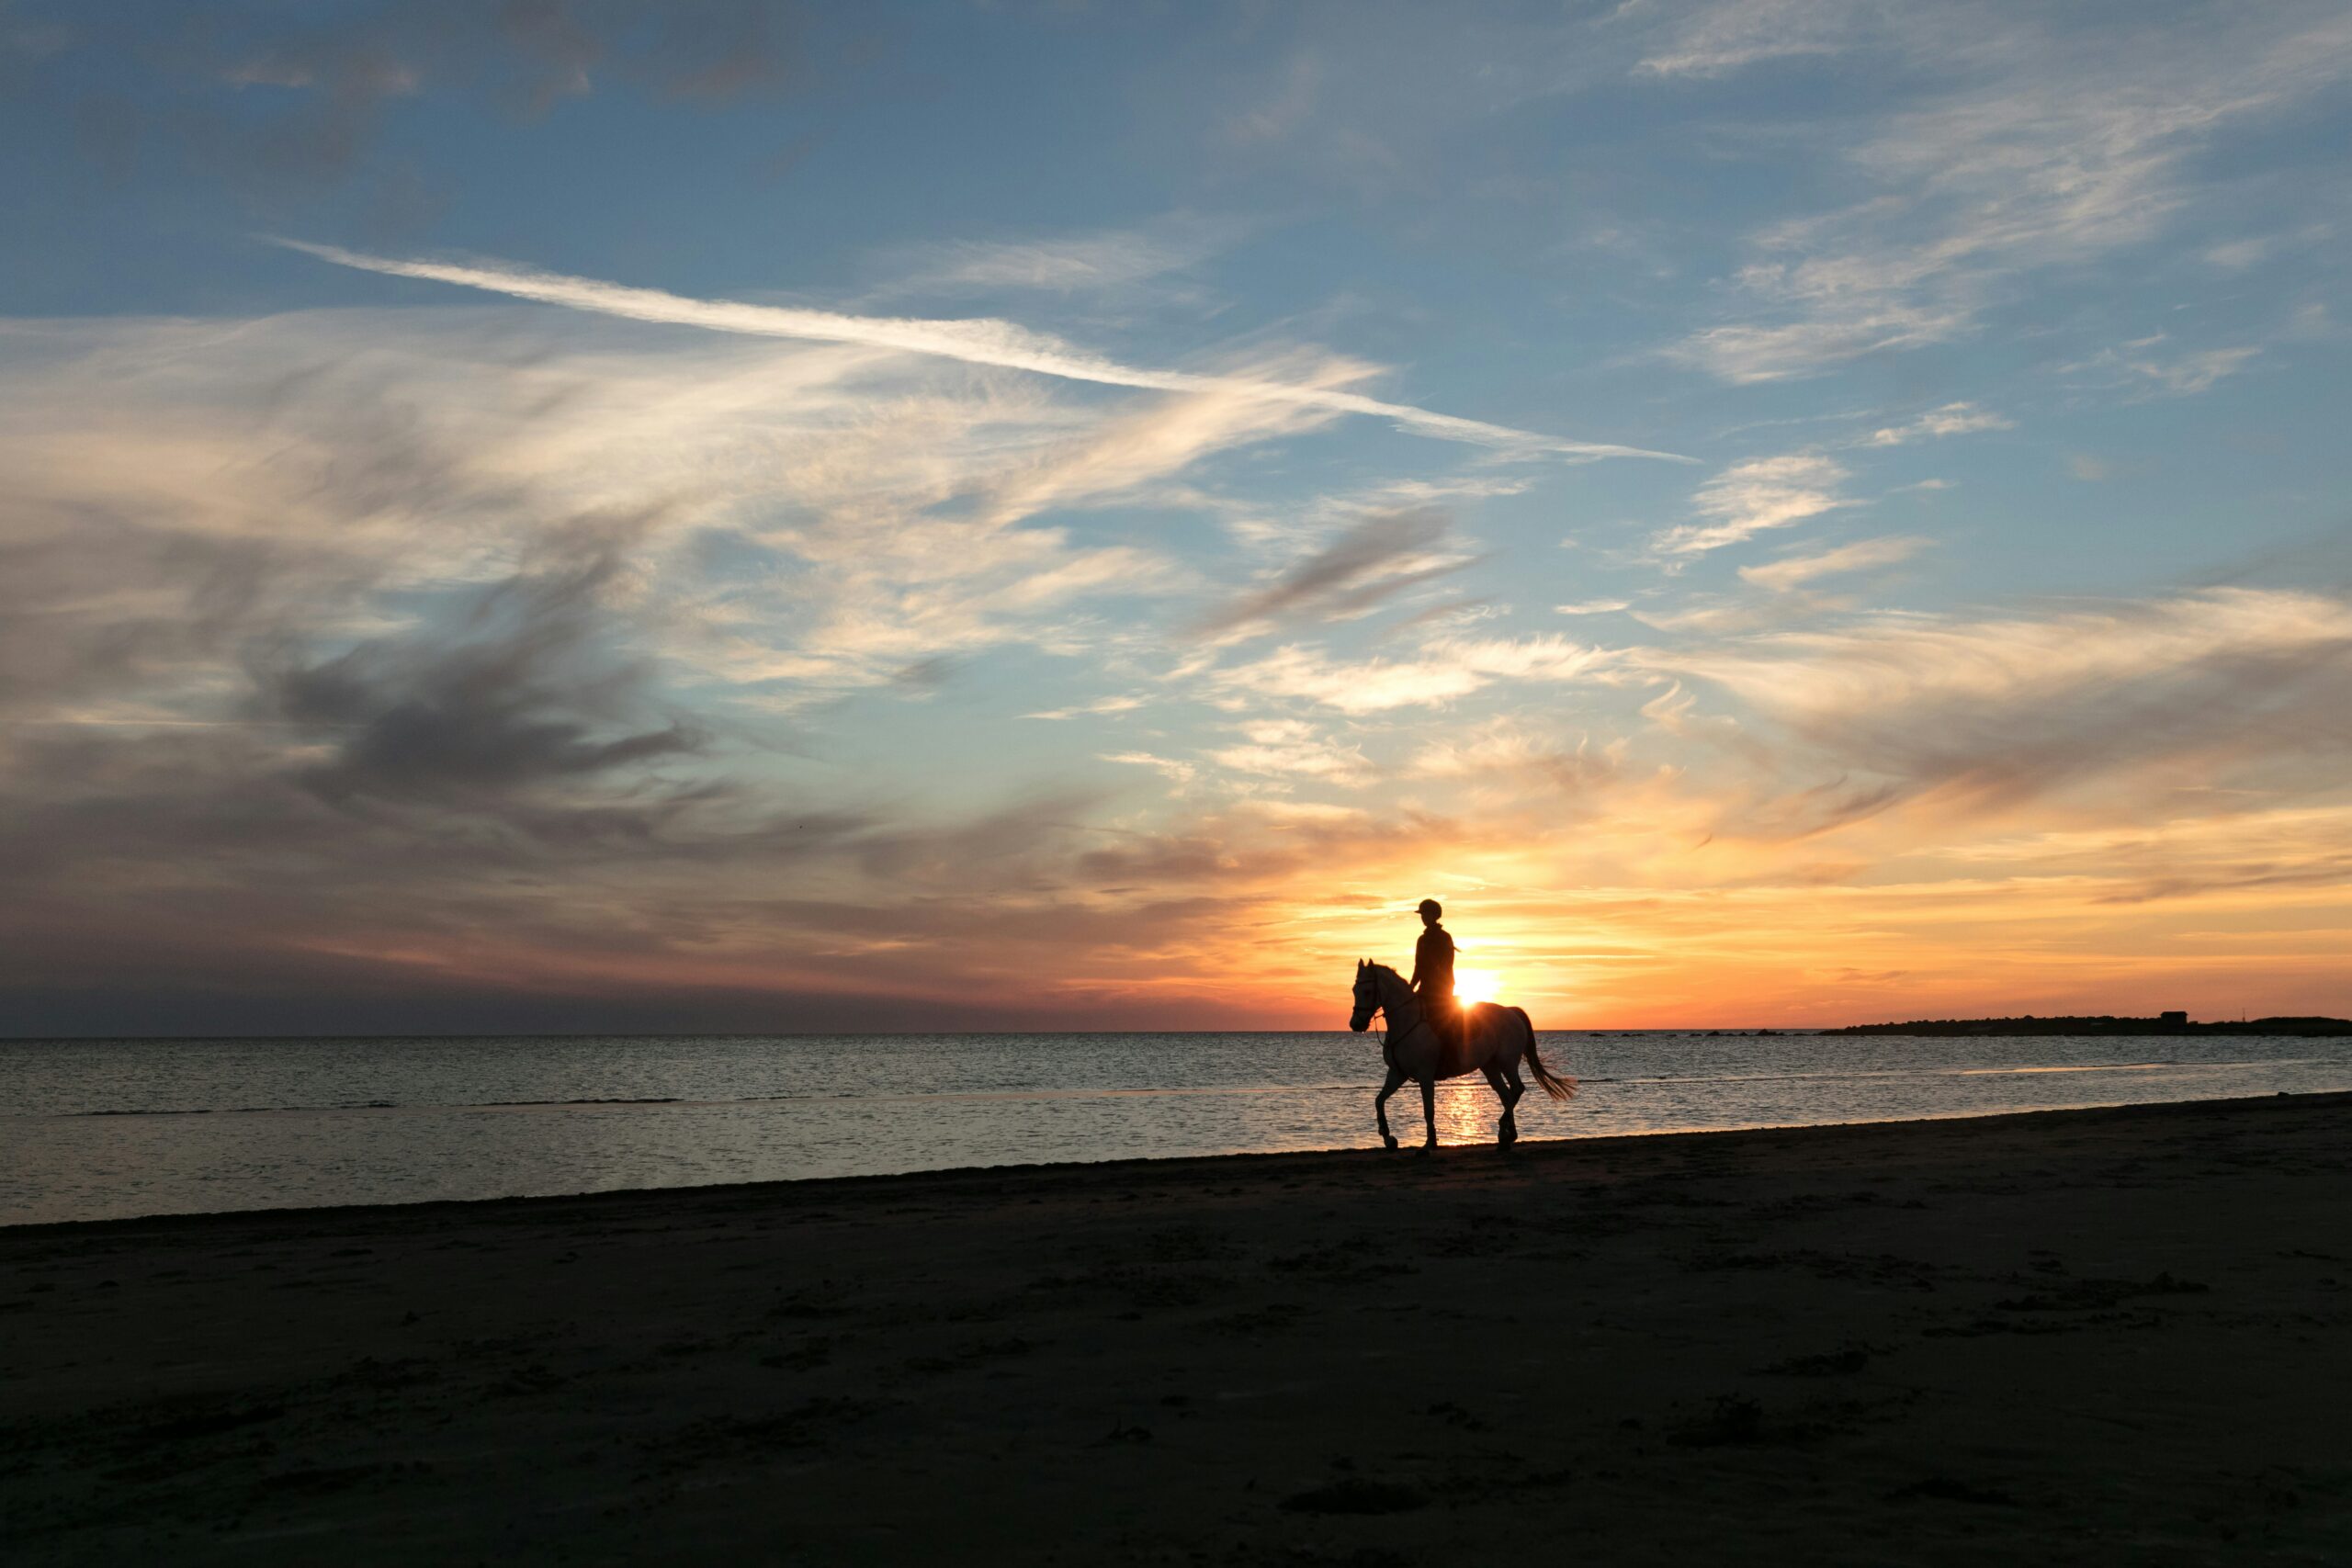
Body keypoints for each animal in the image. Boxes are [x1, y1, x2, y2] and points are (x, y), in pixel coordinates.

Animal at [1354, 959, 1571, 1152]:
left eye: (1367, 991)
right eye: (1354, 990)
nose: (1355, 1024)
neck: (1406, 1022)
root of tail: (1511, 1012)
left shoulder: (1425, 1075)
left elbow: (1428, 1110)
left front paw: (1428, 1145)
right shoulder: (1397, 1073)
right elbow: (1379, 1100)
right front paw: (1388, 1138)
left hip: (1507, 1062)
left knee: (1516, 1090)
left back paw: (1506, 1133)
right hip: (1490, 1067)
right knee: (1506, 1095)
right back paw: (1505, 1137)